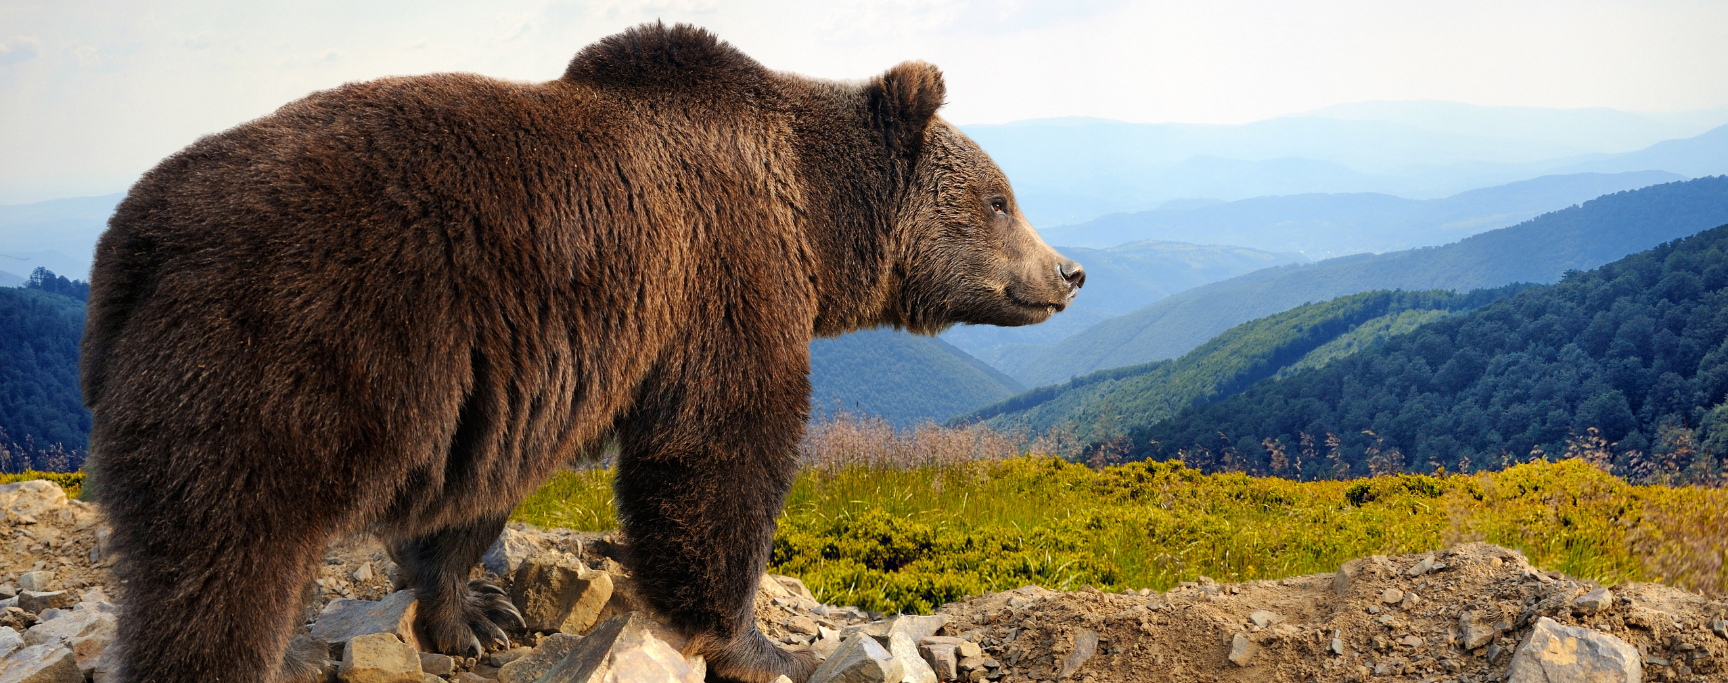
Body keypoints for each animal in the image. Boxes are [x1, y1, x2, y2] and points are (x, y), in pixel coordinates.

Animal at [84, 21, 1078, 683]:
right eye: (1000, 198)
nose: (1067, 271)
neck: (814, 219)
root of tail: (133, 238)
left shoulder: (516, 377)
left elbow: (479, 492)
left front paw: (474, 612)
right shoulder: (722, 279)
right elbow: (721, 450)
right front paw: (760, 644)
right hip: (279, 359)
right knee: (223, 571)